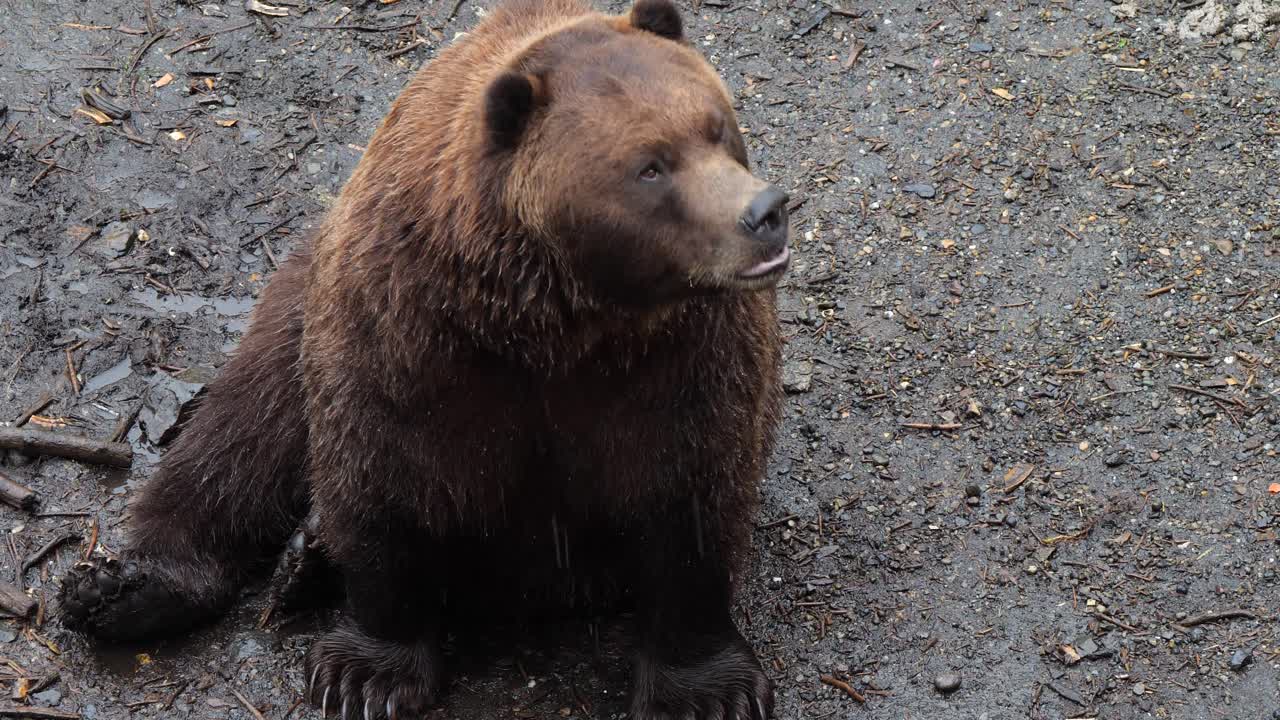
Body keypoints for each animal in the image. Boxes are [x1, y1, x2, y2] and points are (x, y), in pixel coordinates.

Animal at [57, 0, 791, 718]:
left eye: (718, 126)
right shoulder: (409, 334)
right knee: (240, 429)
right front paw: (365, 676)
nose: (765, 212)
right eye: (651, 166)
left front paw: (706, 692)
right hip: (298, 304)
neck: (559, 318)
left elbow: (692, 496)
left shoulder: (682, 358)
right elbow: (384, 479)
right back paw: (128, 588)